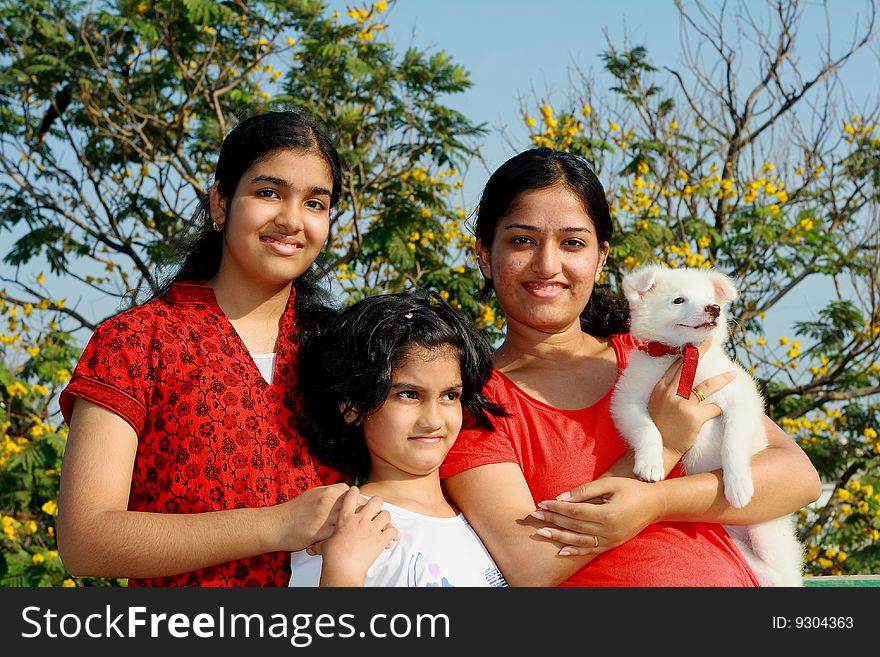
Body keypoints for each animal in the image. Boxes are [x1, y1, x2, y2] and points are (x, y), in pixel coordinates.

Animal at [612, 264, 804, 588]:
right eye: (679, 300)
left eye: (711, 299)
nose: (714, 308)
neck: (684, 355)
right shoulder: (627, 401)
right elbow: (648, 429)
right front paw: (650, 463)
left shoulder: (740, 396)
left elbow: (733, 441)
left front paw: (737, 483)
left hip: (767, 534)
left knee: (783, 571)